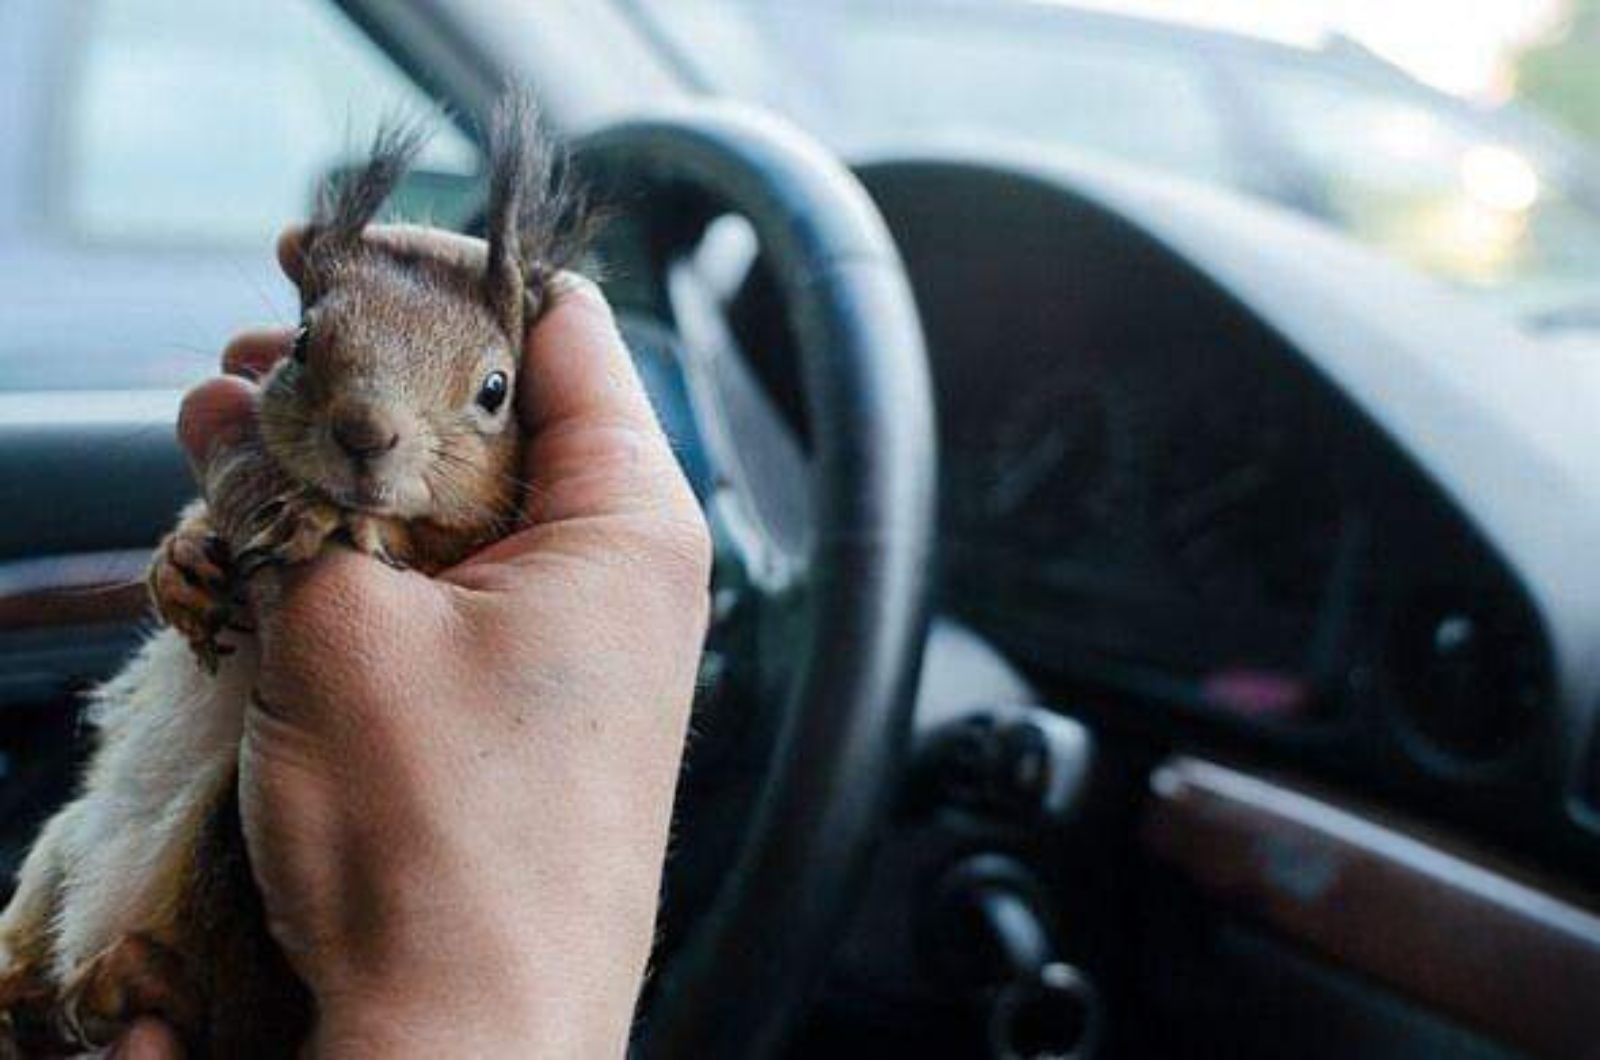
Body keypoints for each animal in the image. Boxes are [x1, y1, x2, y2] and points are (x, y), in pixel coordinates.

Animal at [0, 93, 588, 1060]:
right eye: (305, 341)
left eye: (497, 389)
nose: (365, 432)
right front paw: (181, 565)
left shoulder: (479, 538)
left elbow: (421, 542)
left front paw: (345, 520)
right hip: (57, 842)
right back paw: (20, 989)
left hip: (231, 860)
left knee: (205, 995)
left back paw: (130, 979)